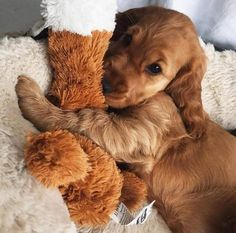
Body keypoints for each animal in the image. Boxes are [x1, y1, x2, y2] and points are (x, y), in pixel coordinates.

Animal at [15, 6, 236, 233]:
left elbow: (84, 119)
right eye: (127, 38)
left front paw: (32, 98)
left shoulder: (138, 129)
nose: (103, 84)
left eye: (155, 68)